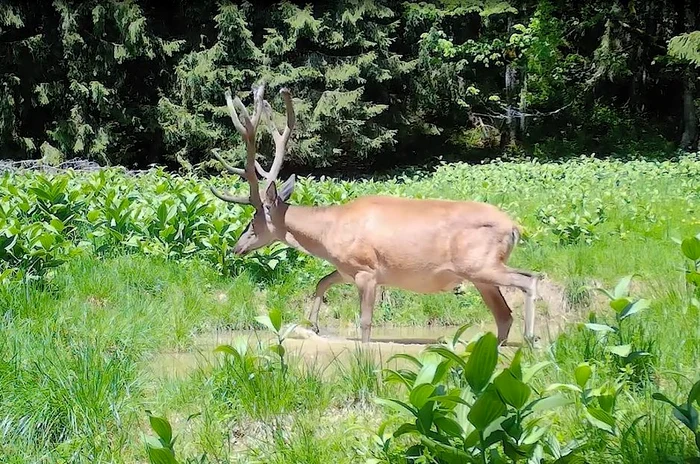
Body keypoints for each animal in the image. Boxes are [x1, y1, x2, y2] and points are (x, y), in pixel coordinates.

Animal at [209, 82, 540, 344]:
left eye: (253, 220)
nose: (237, 247)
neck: (327, 233)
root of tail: (514, 227)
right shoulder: (347, 269)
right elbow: (321, 282)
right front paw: (312, 325)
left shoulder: (365, 269)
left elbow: (365, 322)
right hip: (480, 276)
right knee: (504, 316)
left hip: (480, 264)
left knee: (529, 278)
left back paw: (531, 338)